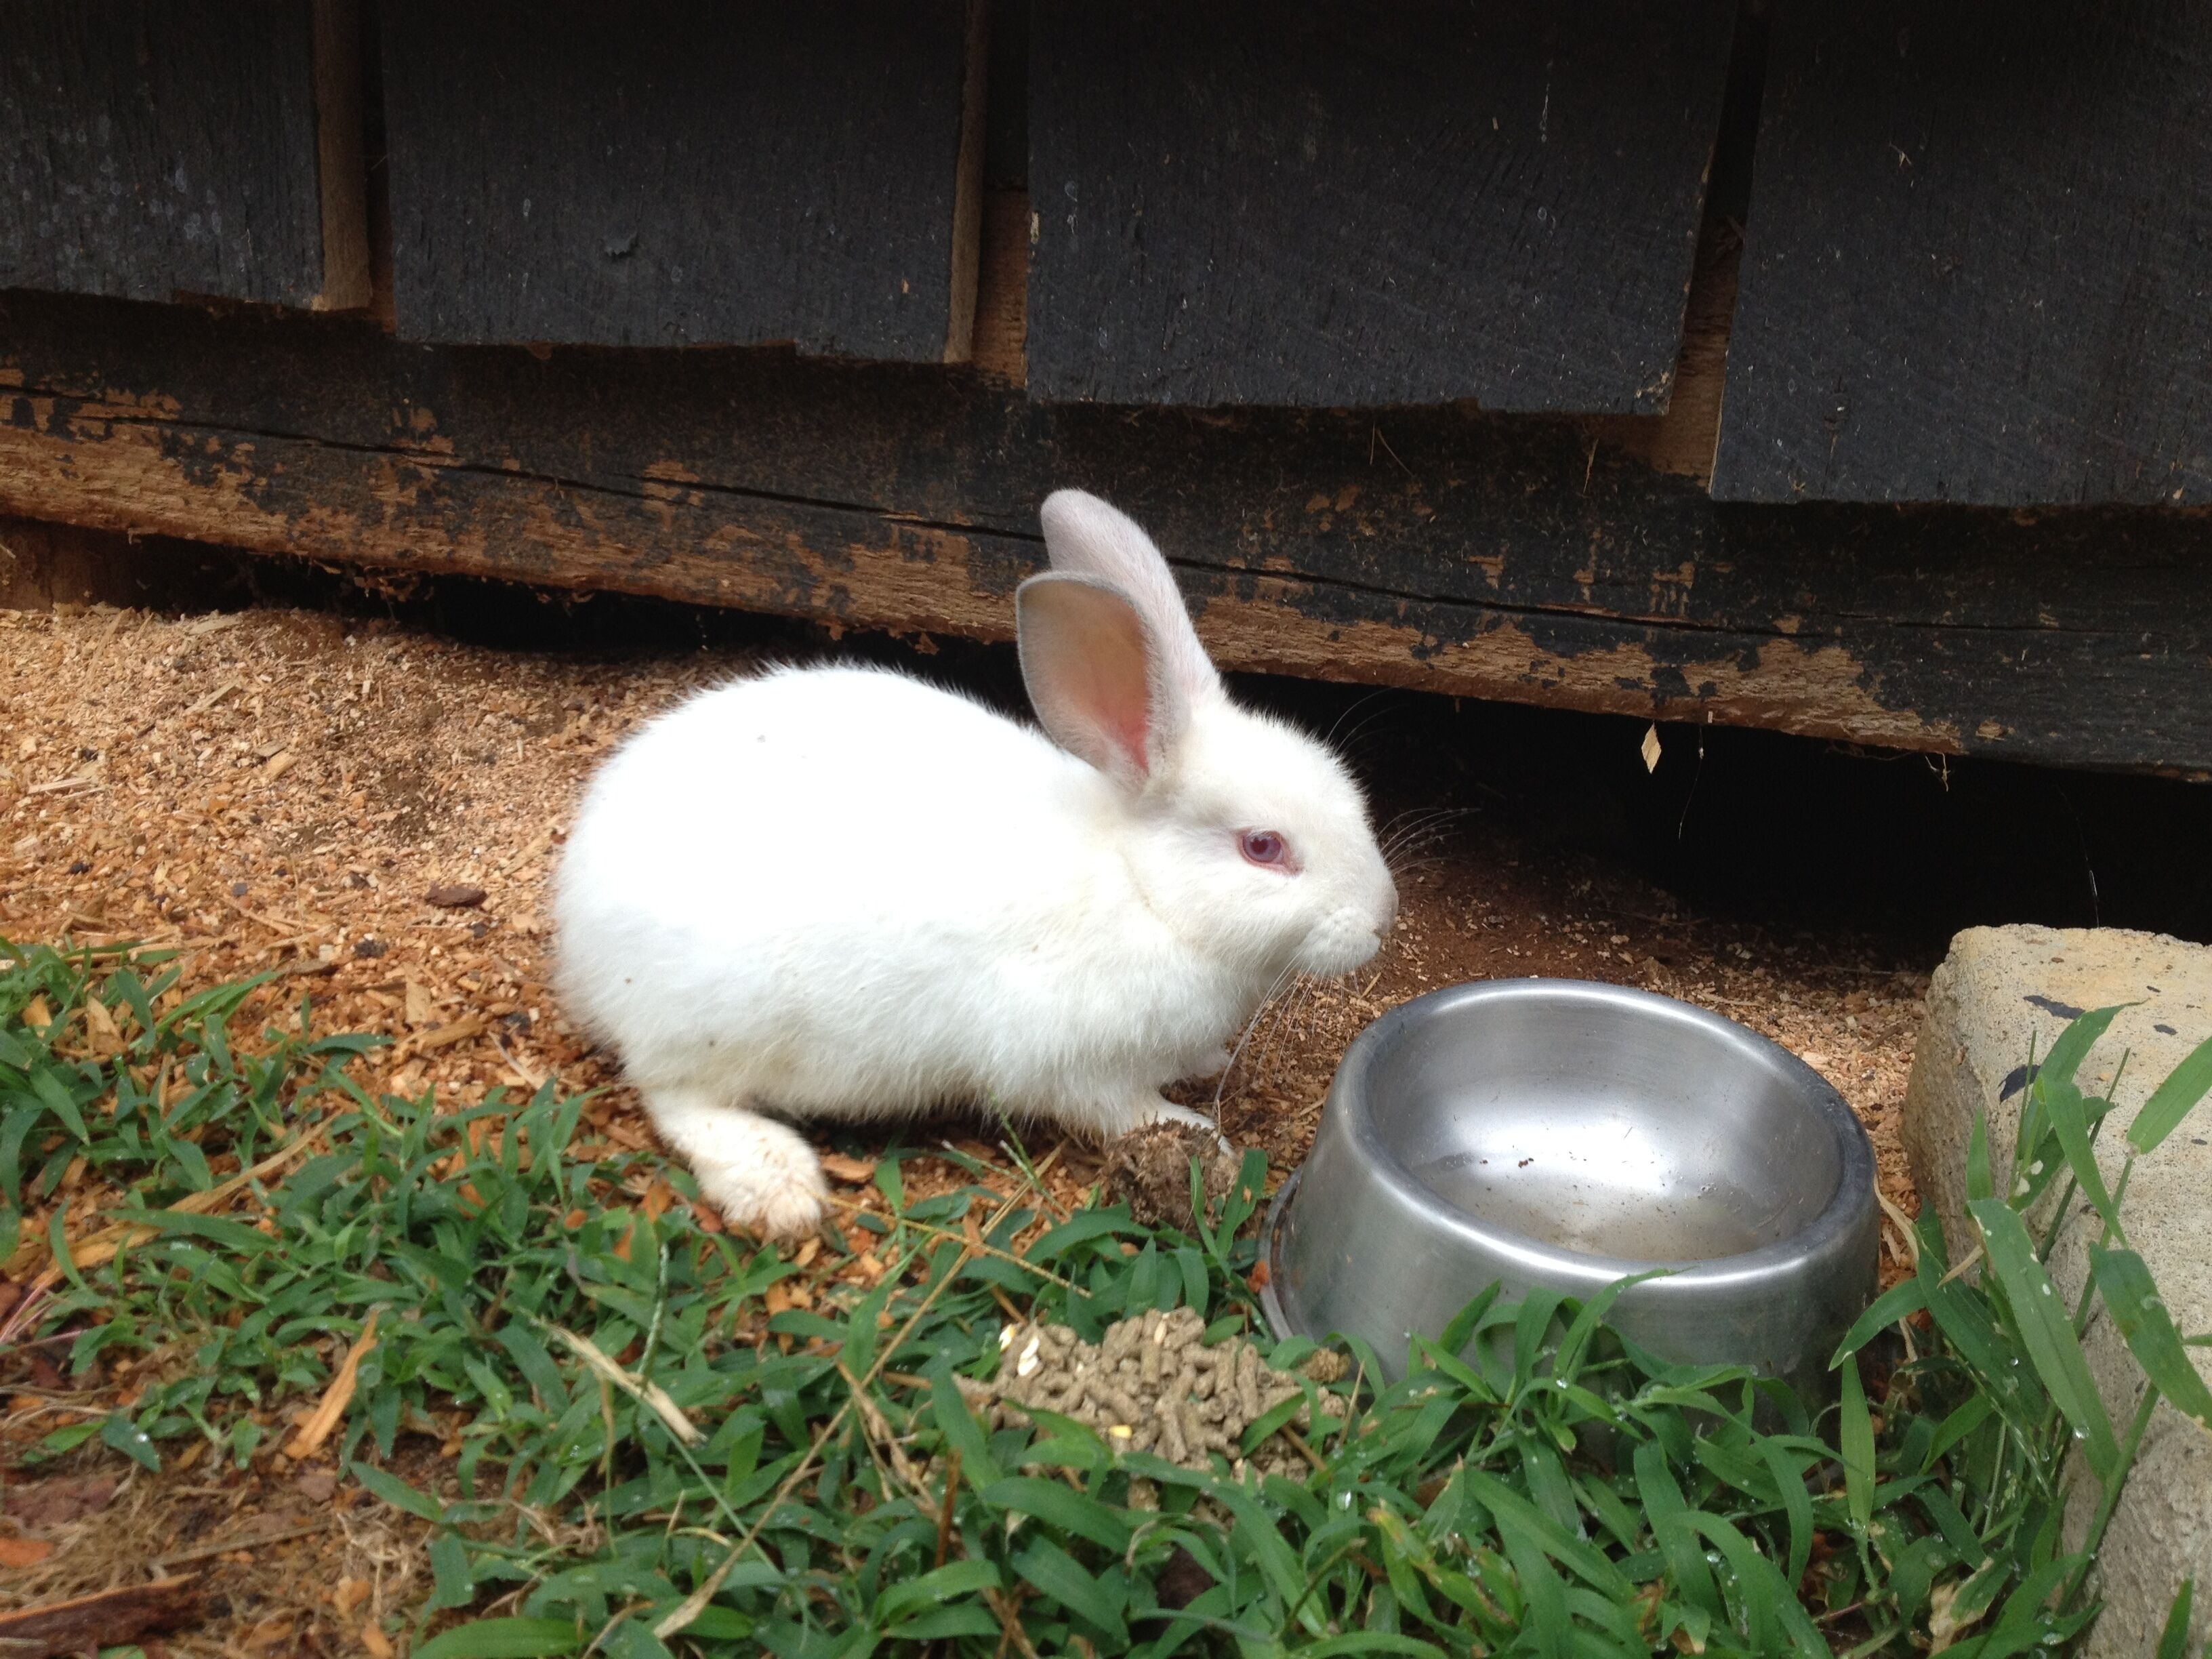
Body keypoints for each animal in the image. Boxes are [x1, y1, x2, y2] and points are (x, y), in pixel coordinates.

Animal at [553, 490, 1399, 1238]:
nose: (1383, 917)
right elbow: (1121, 1109)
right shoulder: (1069, 1062)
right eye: (1264, 848)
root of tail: (575, 930)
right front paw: (1199, 1137)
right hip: (718, 1023)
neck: (1144, 890)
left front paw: (1208, 1061)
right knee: (675, 1099)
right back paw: (778, 1187)